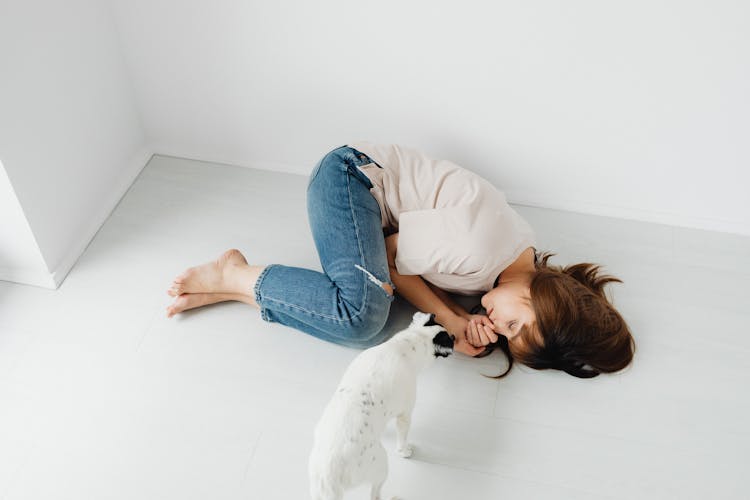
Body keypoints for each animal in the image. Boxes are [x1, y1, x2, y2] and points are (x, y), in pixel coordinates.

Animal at [308, 312, 456, 500]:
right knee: (375, 494)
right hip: (381, 465)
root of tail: (329, 475)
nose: (455, 337)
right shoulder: (405, 414)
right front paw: (404, 451)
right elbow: (402, 438)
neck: (405, 344)